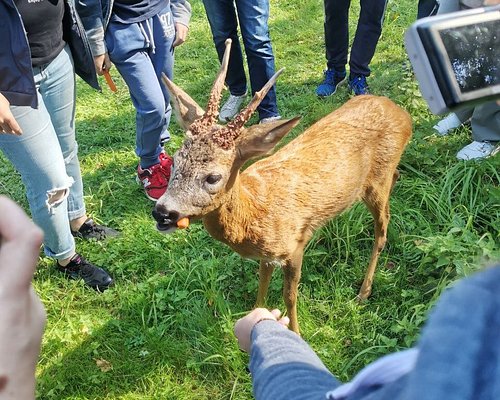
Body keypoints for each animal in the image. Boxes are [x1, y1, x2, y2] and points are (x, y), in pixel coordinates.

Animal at [152, 40, 410, 334]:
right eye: (175, 161)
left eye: (213, 177)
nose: (162, 212)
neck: (254, 212)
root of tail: (403, 115)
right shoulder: (267, 254)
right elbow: (262, 283)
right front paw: (255, 316)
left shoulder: (294, 245)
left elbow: (289, 294)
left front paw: (295, 332)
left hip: (375, 184)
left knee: (383, 227)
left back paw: (364, 291)